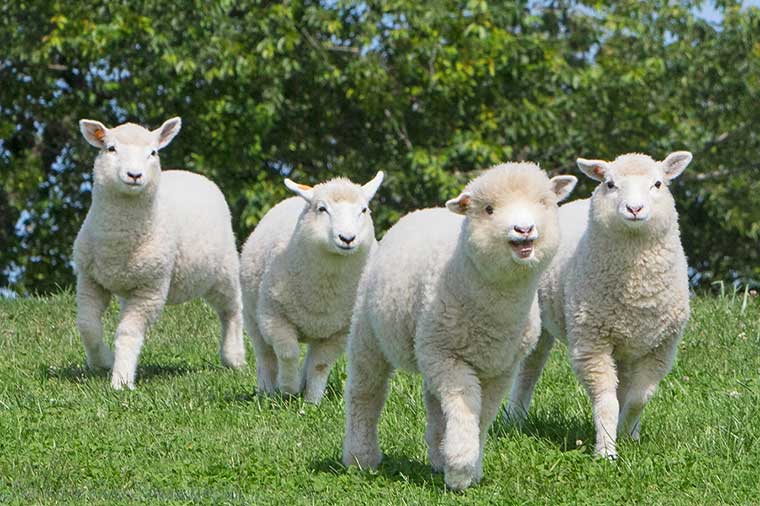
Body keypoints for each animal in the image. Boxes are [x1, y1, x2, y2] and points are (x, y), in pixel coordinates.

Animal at [74, 116, 246, 390]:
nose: (135, 175)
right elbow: (87, 325)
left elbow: (128, 332)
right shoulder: (90, 279)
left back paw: (234, 356)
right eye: (111, 148)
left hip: (223, 269)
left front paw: (121, 380)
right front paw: (102, 361)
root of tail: (192, 174)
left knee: (232, 309)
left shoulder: (150, 290)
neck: (118, 243)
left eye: (152, 152)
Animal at [240, 172, 382, 406]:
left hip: (319, 328)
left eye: (364, 210)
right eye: (322, 209)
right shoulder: (274, 318)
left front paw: (312, 402)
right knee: (266, 355)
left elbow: (320, 365)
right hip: (253, 316)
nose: (347, 238)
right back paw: (267, 390)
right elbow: (287, 354)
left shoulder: (339, 332)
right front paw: (288, 389)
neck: (324, 291)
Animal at [340, 163, 576, 490]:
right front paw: (461, 467)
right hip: (370, 334)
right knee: (365, 392)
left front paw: (468, 466)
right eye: (489, 209)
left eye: (543, 202)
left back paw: (438, 456)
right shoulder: (449, 357)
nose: (524, 229)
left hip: (427, 351)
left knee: (434, 405)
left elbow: (483, 414)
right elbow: (466, 405)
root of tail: (420, 211)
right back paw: (361, 457)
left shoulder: (501, 367)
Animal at [508, 149, 692, 458]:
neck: (637, 288)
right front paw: (606, 451)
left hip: (628, 345)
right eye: (610, 184)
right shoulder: (592, 344)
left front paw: (627, 433)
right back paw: (514, 418)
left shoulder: (660, 348)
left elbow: (638, 398)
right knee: (528, 372)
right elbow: (606, 401)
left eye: (657, 184)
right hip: (539, 322)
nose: (634, 209)